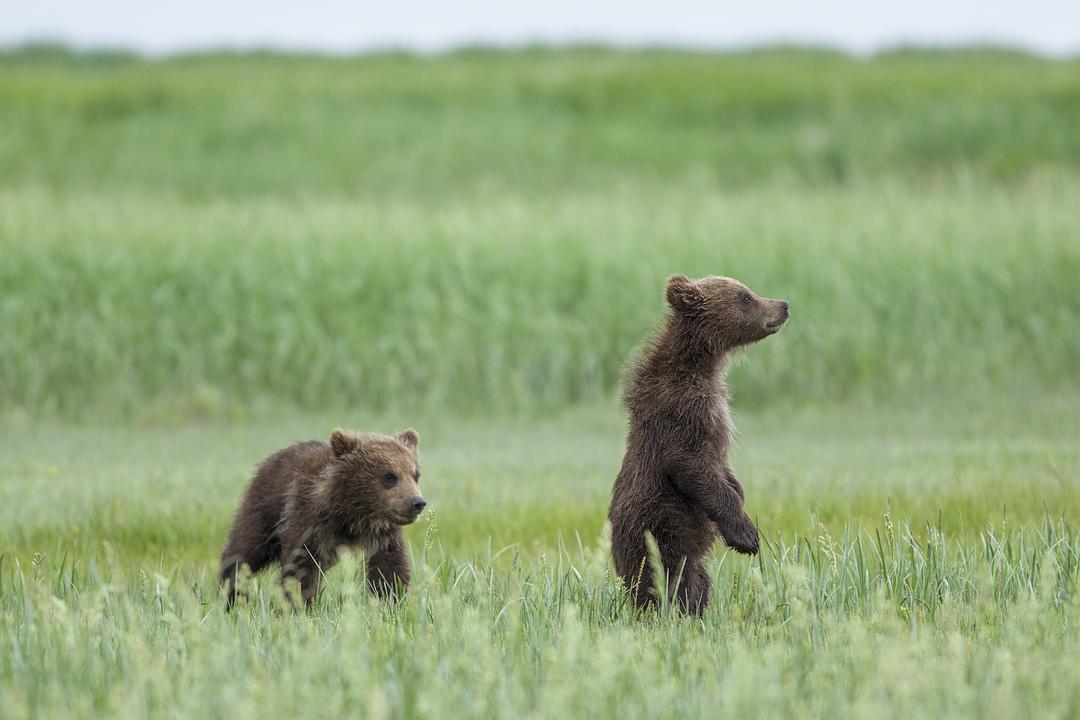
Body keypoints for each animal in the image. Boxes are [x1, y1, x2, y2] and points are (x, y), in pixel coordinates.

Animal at [219, 427, 425, 609]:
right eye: (389, 476)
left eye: (416, 475)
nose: (417, 502)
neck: (352, 517)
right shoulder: (310, 523)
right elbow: (301, 568)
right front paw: (298, 606)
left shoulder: (383, 535)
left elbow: (389, 570)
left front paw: (391, 602)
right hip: (264, 509)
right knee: (244, 552)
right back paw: (227, 596)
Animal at [608, 274, 789, 615]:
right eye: (745, 297)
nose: (783, 304)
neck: (701, 366)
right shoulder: (682, 413)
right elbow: (692, 467)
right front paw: (746, 536)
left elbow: (723, 471)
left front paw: (740, 493)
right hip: (660, 533)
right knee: (671, 581)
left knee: (698, 582)